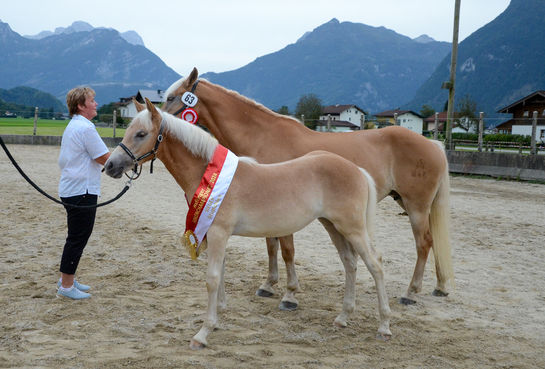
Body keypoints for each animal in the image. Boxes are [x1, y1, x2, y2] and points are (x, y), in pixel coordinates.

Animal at [104, 99, 388, 350]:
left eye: (141, 133)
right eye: (128, 130)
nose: (110, 166)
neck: (208, 175)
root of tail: (357, 170)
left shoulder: (218, 233)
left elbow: (212, 278)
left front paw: (203, 334)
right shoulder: (213, 233)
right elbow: (221, 273)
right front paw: (217, 319)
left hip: (352, 228)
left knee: (374, 265)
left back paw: (384, 326)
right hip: (333, 226)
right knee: (350, 264)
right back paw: (343, 317)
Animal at [163, 67, 454, 304]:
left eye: (171, 98)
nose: (159, 122)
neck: (263, 135)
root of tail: (433, 144)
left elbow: (287, 250)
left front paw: (290, 293)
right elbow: (271, 246)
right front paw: (269, 285)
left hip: (416, 206)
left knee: (424, 243)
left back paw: (410, 292)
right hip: (408, 202)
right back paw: (439, 286)